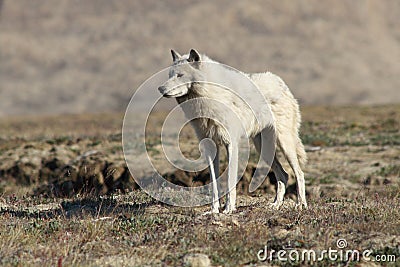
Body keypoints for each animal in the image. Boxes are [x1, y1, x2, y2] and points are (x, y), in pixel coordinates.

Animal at [158, 49, 308, 215]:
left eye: (180, 75)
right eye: (170, 75)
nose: (160, 89)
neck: (208, 96)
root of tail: (281, 82)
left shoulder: (231, 144)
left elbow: (230, 179)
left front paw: (228, 208)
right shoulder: (210, 147)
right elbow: (214, 183)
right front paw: (214, 210)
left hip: (284, 143)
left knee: (299, 173)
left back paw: (300, 204)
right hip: (263, 148)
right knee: (284, 174)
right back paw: (276, 205)